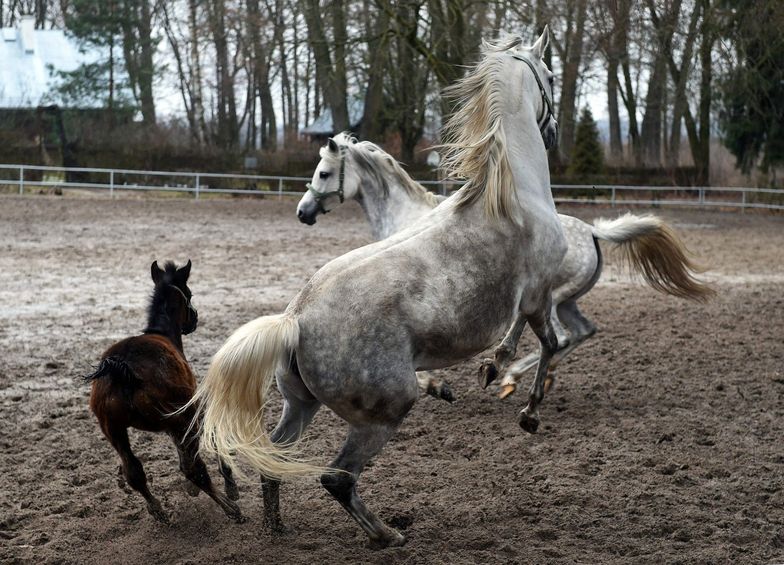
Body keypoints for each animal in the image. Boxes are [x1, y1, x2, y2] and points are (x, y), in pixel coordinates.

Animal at [86, 260, 242, 524]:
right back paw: (230, 507)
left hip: (113, 428)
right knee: (193, 468)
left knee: (134, 472)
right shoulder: (189, 410)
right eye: (190, 293)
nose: (195, 318)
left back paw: (158, 510)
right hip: (180, 418)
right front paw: (230, 486)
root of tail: (121, 370)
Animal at [298, 132, 712, 396]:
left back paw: (513, 376)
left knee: (561, 336)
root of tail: (593, 232)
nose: (303, 212)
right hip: (567, 300)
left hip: (549, 299)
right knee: (583, 332)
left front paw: (437, 386)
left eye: (323, 172)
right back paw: (536, 376)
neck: (407, 218)